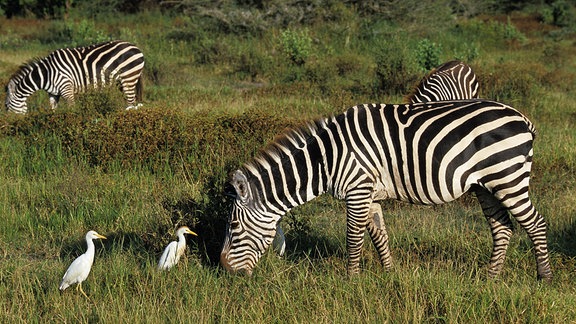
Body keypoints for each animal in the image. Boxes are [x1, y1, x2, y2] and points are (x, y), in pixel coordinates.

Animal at [5, 39, 144, 113]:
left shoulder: (66, 87)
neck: (47, 74)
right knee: (133, 103)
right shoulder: (53, 93)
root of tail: (135, 47)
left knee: (131, 104)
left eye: (6, 106)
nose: (11, 124)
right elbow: (53, 110)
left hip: (128, 78)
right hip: (122, 82)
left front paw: (72, 125)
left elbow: (71, 109)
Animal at [220, 100, 552, 282]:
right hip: (486, 185)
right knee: (503, 228)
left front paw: (351, 281)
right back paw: (489, 278)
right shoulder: (370, 193)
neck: (326, 158)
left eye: (233, 226)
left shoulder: (357, 188)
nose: (224, 270)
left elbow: (353, 237)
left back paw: (544, 277)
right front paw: (389, 275)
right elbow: (379, 235)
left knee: (535, 224)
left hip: (507, 176)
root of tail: (522, 118)